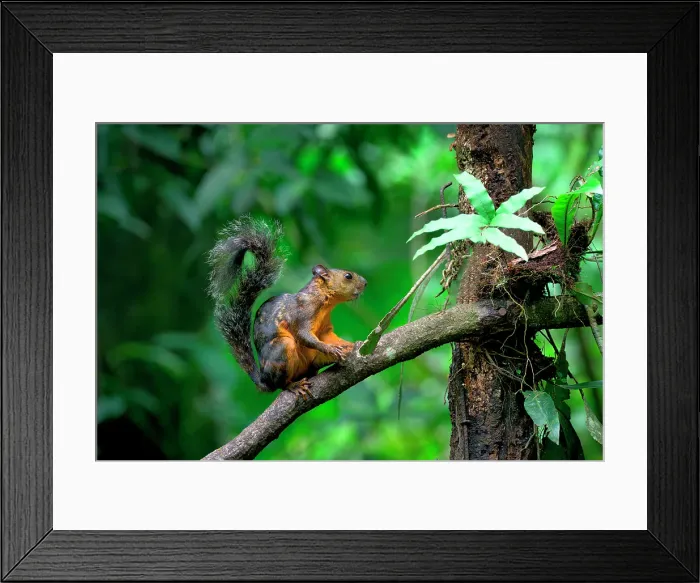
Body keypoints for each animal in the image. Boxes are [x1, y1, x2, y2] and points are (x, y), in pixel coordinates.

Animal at [207, 216, 367, 400]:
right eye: (348, 276)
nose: (365, 283)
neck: (324, 303)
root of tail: (264, 380)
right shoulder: (302, 313)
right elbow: (305, 336)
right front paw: (330, 347)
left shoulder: (325, 328)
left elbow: (330, 337)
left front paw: (351, 344)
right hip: (282, 350)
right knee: (281, 383)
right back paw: (293, 385)